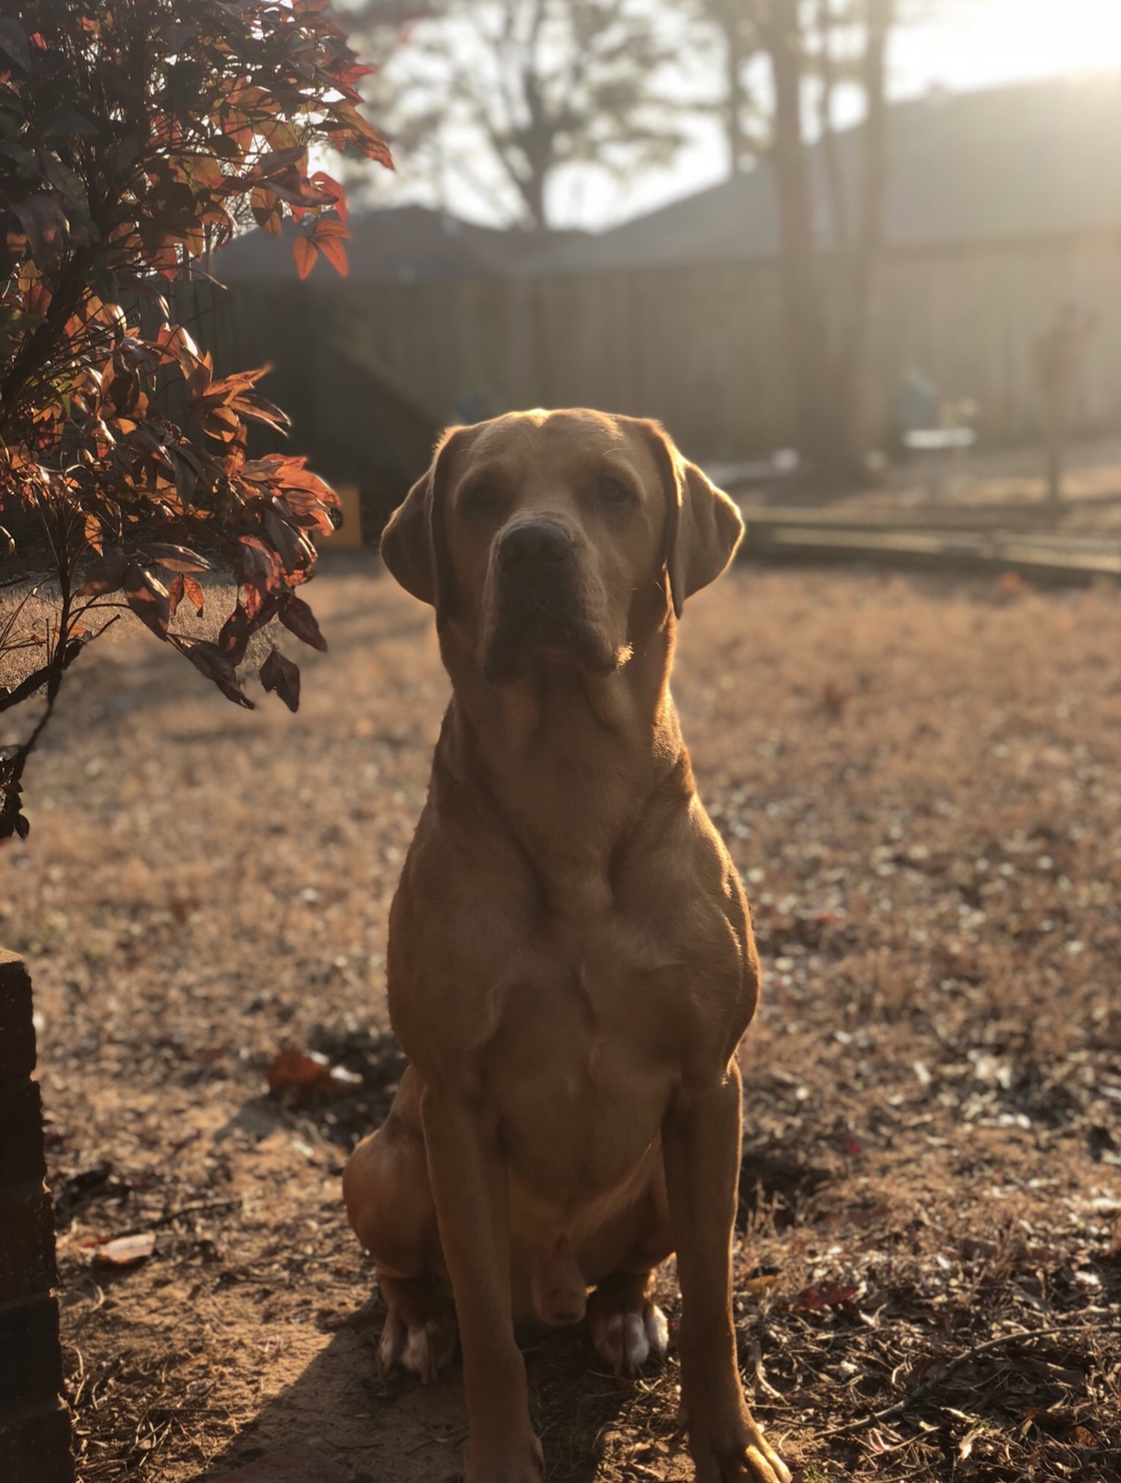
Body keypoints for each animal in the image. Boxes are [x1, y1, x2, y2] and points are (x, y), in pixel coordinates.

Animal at [341, 409, 788, 1483]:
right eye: (479, 498)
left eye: (613, 492)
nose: (533, 546)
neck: (571, 788)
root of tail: (553, 1286)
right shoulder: (456, 1105)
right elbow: (487, 1336)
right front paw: (503, 1454)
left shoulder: (710, 1085)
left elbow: (714, 1304)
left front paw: (729, 1441)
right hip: (383, 1164)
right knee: (413, 1276)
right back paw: (415, 1326)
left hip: (670, 1167)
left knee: (630, 1270)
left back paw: (623, 1312)